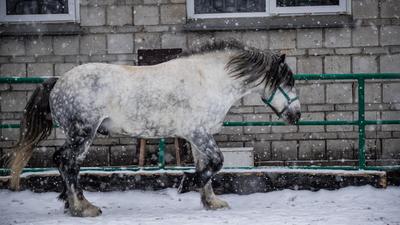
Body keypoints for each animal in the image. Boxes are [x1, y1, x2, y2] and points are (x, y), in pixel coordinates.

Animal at [7, 40, 300, 216]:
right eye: (287, 82)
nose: (297, 115)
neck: (211, 80)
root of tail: (57, 81)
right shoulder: (197, 133)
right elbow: (216, 162)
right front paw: (188, 184)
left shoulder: (198, 136)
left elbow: (206, 165)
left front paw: (211, 202)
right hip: (83, 133)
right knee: (67, 163)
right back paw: (83, 208)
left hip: (78, 135)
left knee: (67, 163)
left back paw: (73, 204)